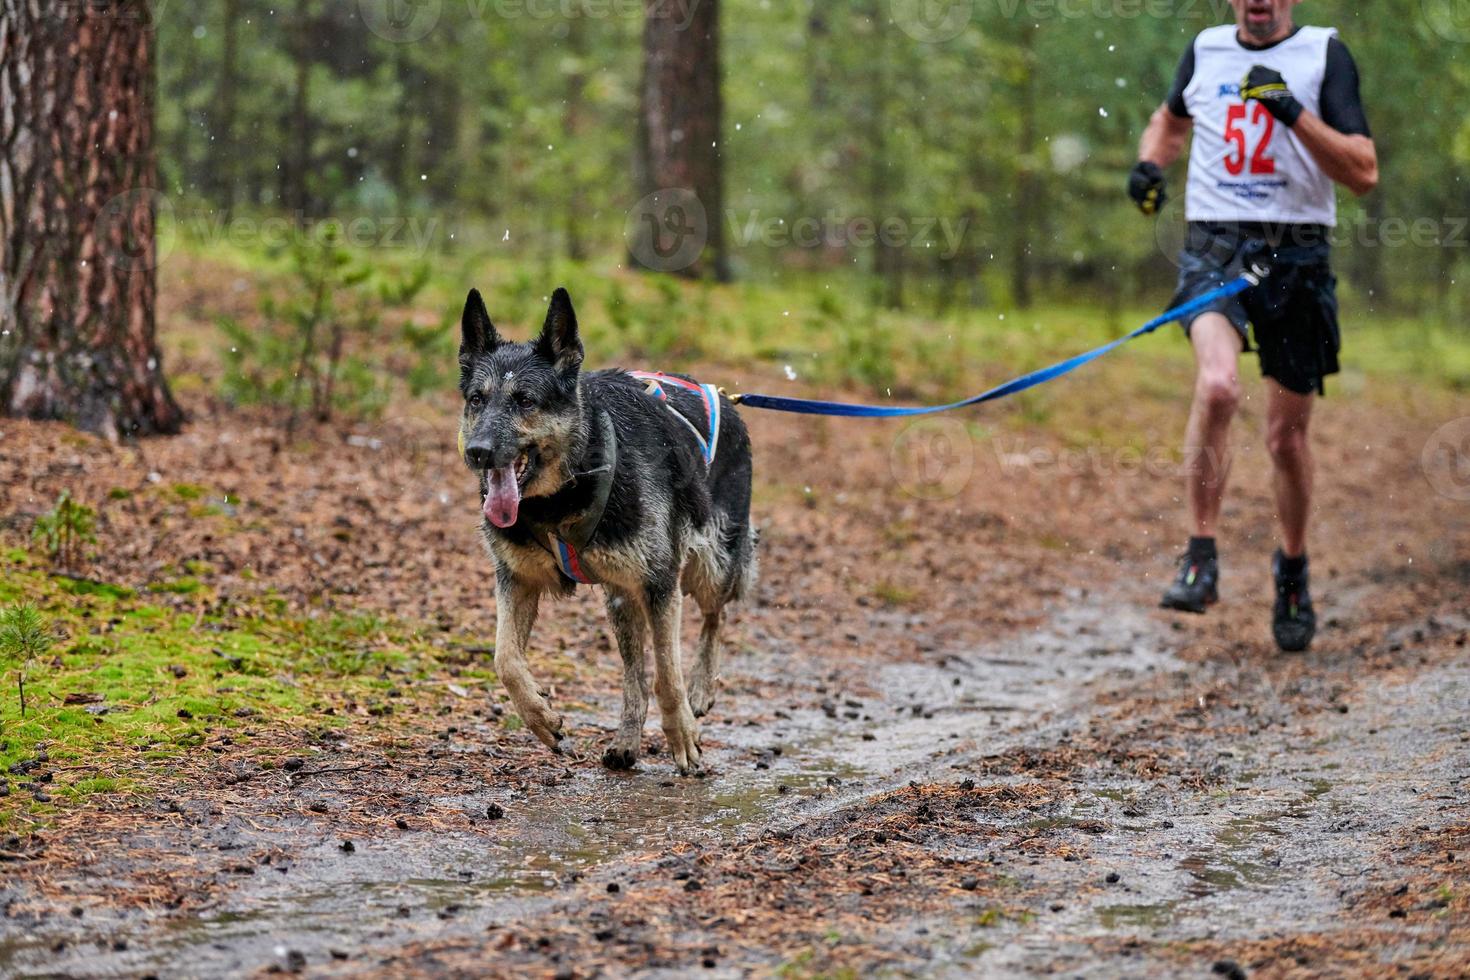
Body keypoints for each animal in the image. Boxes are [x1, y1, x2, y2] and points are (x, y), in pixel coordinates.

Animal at [458, 285, 758, 775]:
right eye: (477, 400)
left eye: (525, 401)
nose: (478, 452)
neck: (565, 492)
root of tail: (722, 397)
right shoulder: (517, 579)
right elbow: (505, 660)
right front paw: (542, 719)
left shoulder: (660, 585)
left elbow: (668, 676)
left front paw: (684, 736)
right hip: (621, 600)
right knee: (635, 673)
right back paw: (626, 742)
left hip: (711, 565)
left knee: (717, 616)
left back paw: (700, 688)